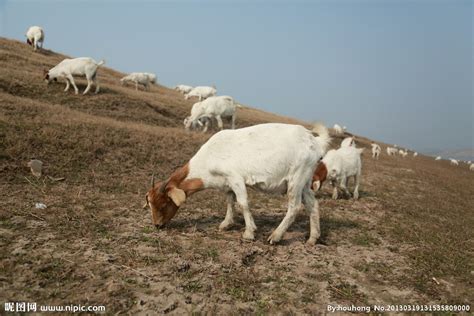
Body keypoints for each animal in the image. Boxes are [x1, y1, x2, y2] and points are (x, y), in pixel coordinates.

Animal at [143, 123, 330, 244]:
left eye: (164, 204)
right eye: (150, 203)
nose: (157, 225)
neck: (208, 158)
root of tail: (314, 142)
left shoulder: (235, 177)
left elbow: (243, 203)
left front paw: (249, 233)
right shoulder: (227, 183)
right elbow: (229, 201)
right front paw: (226, 224)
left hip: (296, 177)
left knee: (294, 207)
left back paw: (275, 236)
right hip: (305, 180)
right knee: (313, 204)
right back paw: (312, 238)